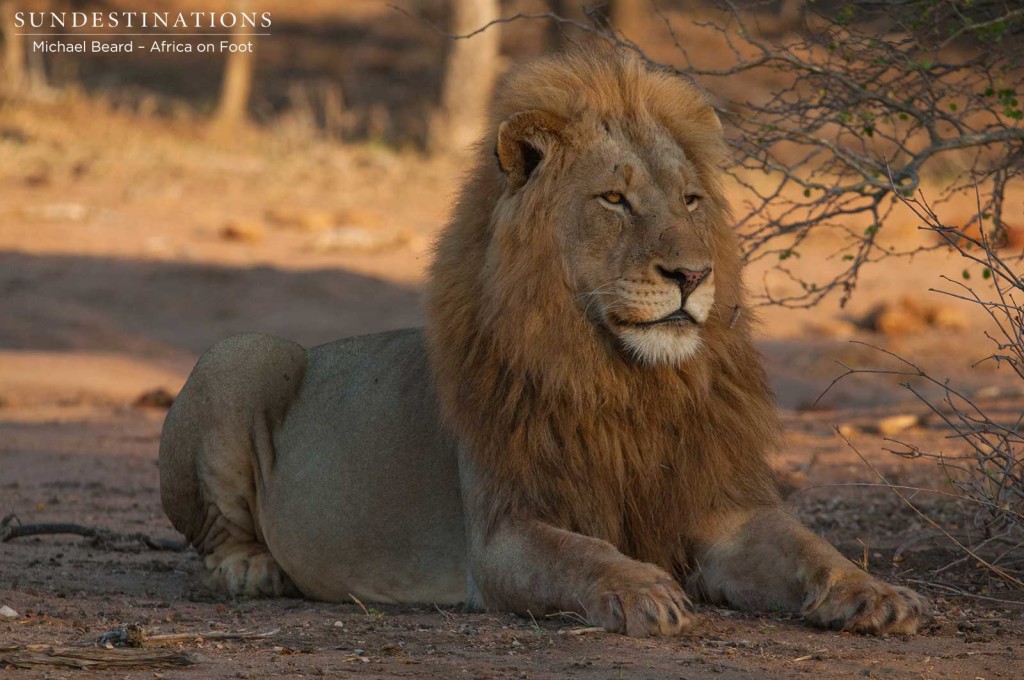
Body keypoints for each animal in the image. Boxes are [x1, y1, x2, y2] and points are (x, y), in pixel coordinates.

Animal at [157, 49, 929, 639]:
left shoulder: (720, 506)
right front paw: (645, 591)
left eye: (691, 200)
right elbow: (581, 554)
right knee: (213, 534)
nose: (692, 274)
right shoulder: (505, 532)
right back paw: (253, 568)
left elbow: (811, 547)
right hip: (244, 351)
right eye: (614, 200)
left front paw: (879, 593)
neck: (627, 380)